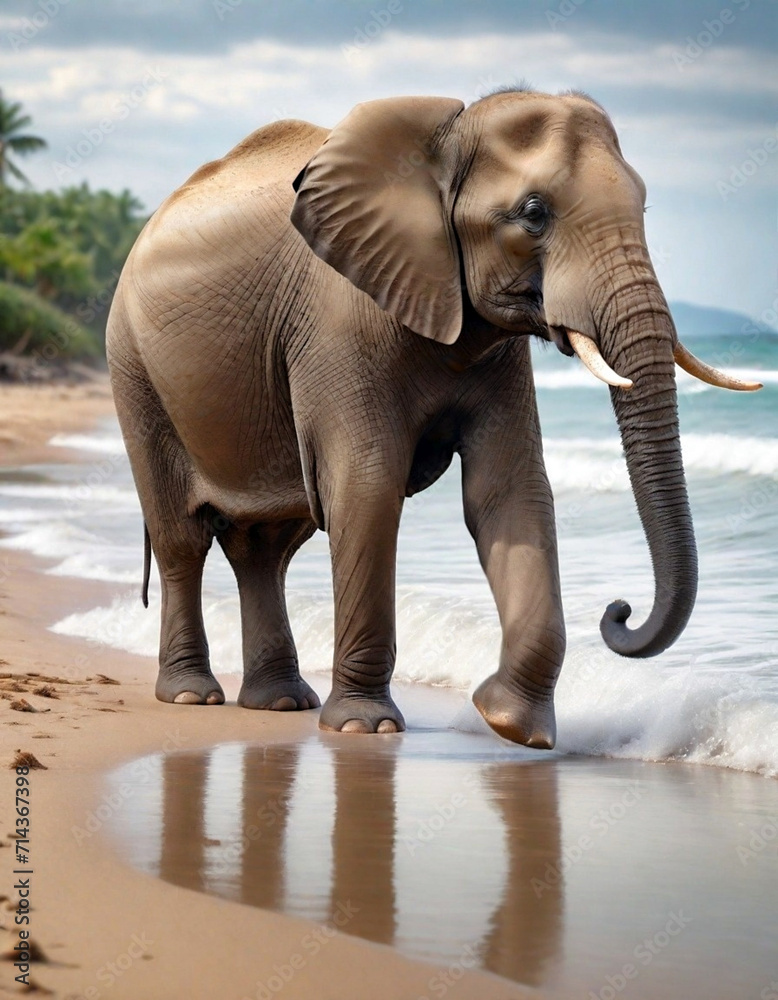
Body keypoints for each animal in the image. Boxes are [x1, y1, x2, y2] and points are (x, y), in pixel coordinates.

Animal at [106, 89, 759, 748]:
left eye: (643, 203)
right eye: (533, 213)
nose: (618, 610)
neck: (447, 138)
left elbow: (510, 489)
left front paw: (513, 727)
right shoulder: (339, 318)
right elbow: (367, 488)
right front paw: (365, 728)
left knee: (265, 547)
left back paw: (281, 703)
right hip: (132, 367)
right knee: (183, 538)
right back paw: (192, 695)